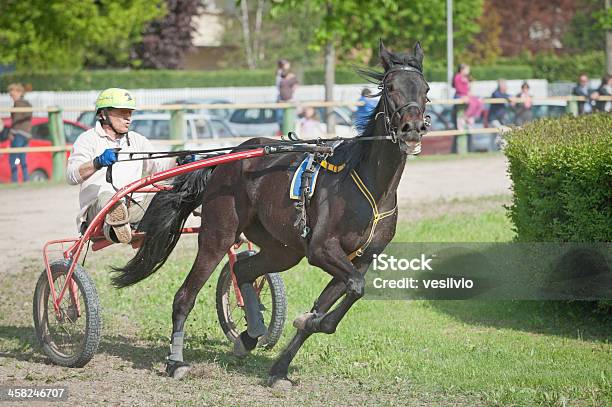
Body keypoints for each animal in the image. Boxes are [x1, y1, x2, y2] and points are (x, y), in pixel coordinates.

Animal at [113, 40, 430, 386]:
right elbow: (354, 288)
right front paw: (307, 323)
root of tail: (230, 156)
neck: (368, 184)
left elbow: (342, 298)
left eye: (425, 89)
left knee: (243, 270)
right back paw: (175, 361)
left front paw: (284, 360)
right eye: (390, 87)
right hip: (218, 235)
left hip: (283, 250)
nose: (412, 128)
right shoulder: (321, 249)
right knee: (185, 296)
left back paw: (249, 335)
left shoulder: (359, 259)